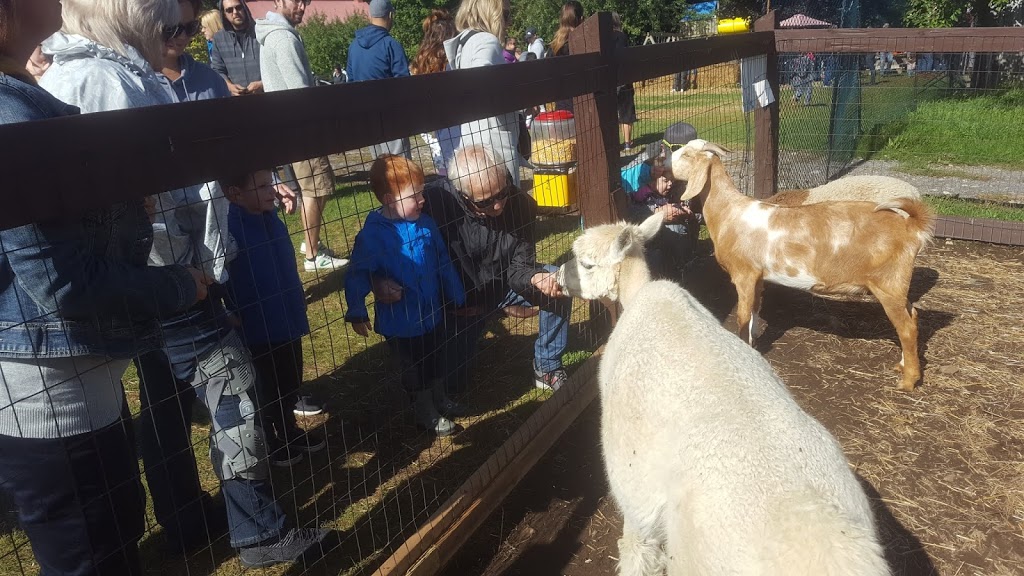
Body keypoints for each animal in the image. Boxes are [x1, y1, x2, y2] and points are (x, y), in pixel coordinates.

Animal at [671, 139, 937, 389]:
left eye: (686, 154)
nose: (664, 160)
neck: (730, 212)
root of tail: (911, 226)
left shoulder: (744, 274)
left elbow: (743, 316)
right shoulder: (757, 275)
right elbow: (756, 307)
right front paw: (754, 339)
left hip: (888, 285)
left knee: (906, 328)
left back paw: (908, 381)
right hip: (897, 284)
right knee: (913, 316)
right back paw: (902, 365)